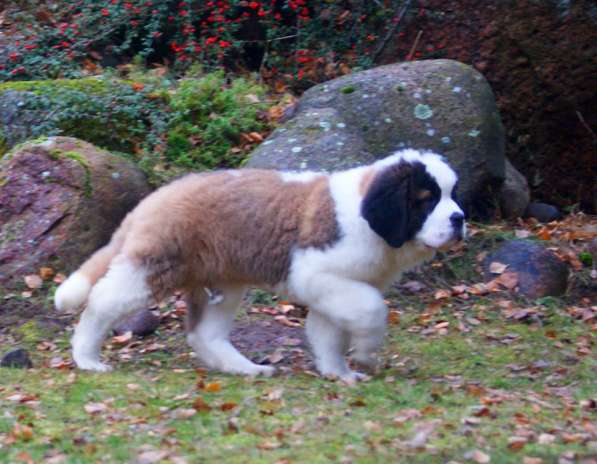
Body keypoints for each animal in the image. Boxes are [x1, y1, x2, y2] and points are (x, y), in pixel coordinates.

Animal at [54, 150, 466, 384]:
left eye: (452, 195)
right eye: (425, 200)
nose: (460, 219)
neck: (365, 215)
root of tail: (154, 197)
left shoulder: (335, 288)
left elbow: (329, 333)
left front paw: (340, 372)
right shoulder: (317, 273)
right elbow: (371, 309)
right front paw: (365, 354)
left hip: (223, 283)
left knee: (204, 334)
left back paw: (247, 369)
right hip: (155, 266)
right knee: (102, 300)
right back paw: (87, 357)